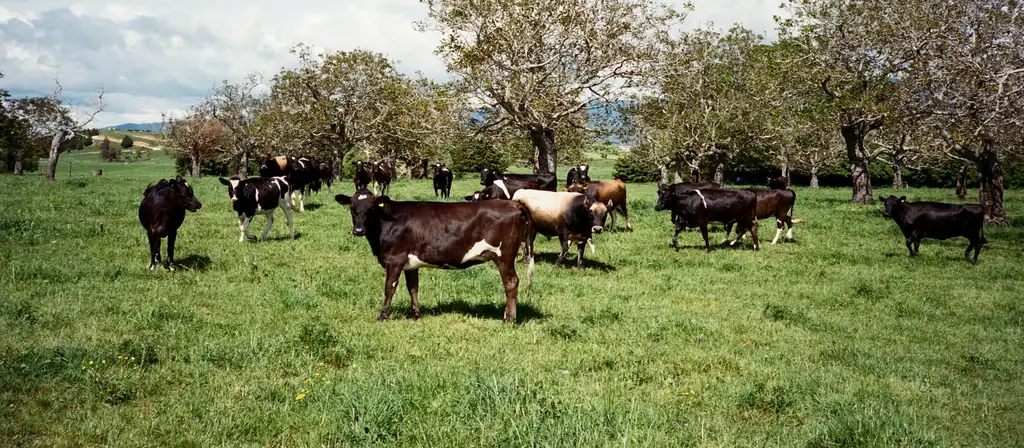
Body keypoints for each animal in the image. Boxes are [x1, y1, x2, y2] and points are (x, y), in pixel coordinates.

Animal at [334, 189, 535, 323]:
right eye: (352, 207)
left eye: (372, 208)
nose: (358, 230)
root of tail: (513, 203)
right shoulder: (410, 263)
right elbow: (413, 288)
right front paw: (416, 315)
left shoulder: (394, 259)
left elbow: (389, 288)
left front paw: (382, 316)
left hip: (504, 256)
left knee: (511, 282)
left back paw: (509, 319)